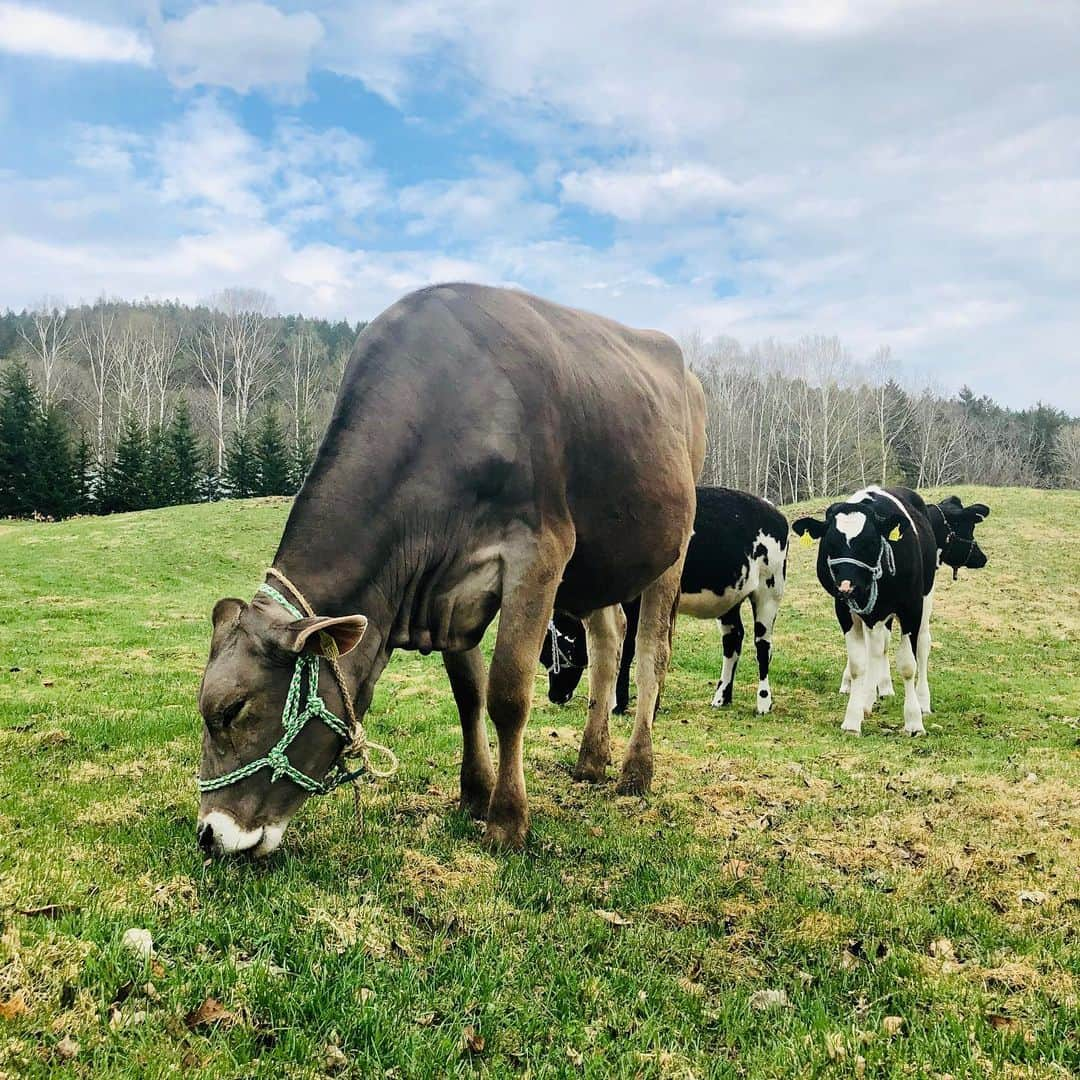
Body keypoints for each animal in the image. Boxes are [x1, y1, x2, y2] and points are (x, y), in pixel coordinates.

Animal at [197, 282, 704, 855]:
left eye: (232, 710)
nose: (210, 834)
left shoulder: (539, 552)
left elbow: (507, 693)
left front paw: (508, 820)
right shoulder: (448, 589)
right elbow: (469, 694)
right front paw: (474, 795)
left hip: (673, 546)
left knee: (651, 653)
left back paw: (636, 772)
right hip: (599, 566)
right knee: (607, 641)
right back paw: (592, 760)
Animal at [540, 490, 786, 717]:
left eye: (564, 647)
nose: (555, 696)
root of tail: (772, 510)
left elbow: (627, 650)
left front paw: (618, 705)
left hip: (769, 592)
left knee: (763, 645)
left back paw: (763, 702)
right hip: (730, 598)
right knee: (732, 641)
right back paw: (721, 697)